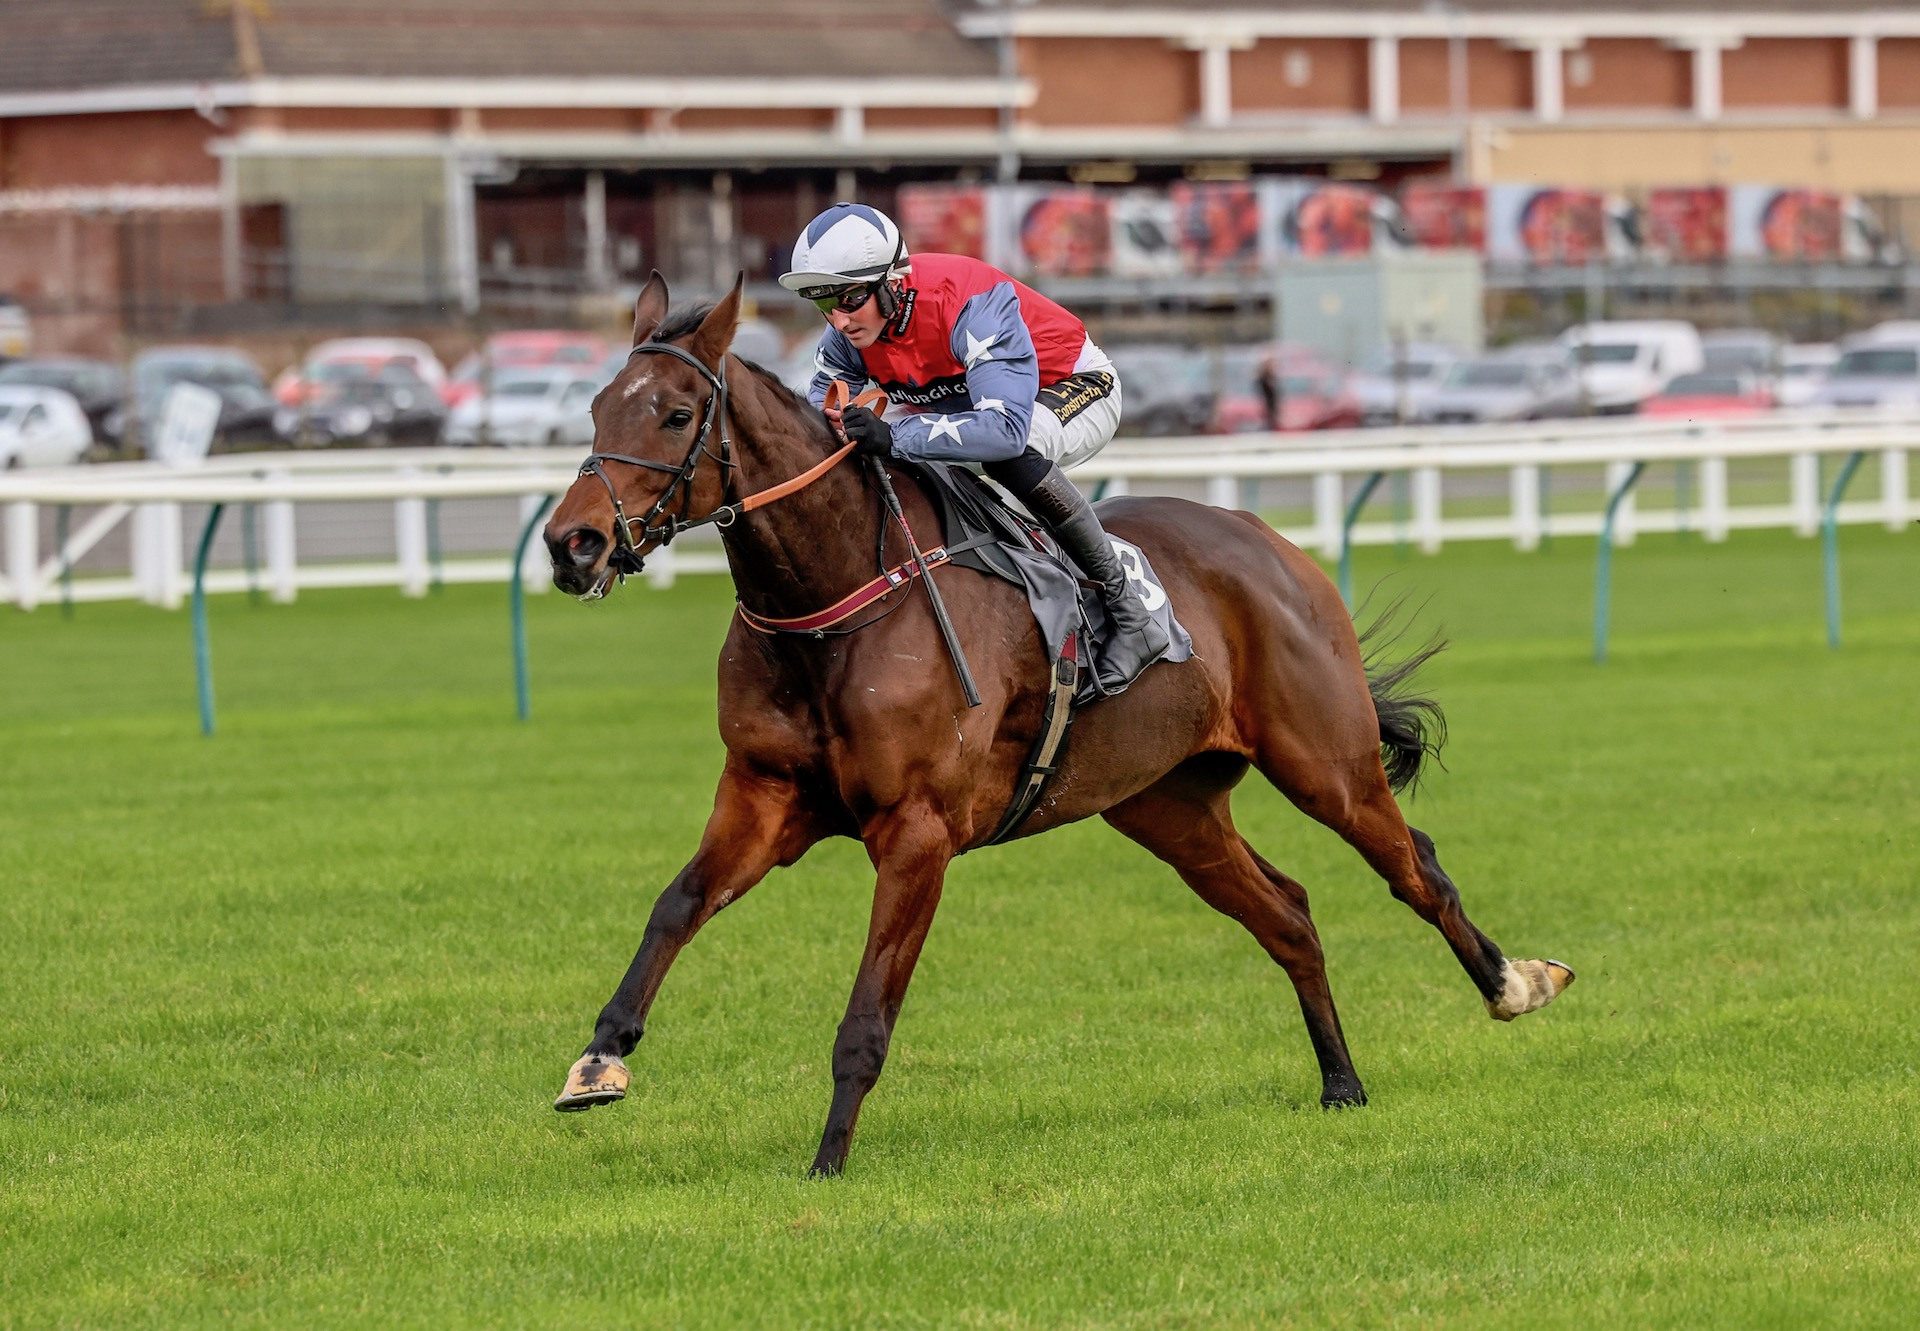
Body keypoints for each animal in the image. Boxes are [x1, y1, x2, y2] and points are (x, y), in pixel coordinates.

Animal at [541, 270, 1574, 1175]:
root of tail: (1273, 544)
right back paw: (1342, 1082)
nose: (570, 543)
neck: (836, 602)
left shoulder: (917, 833)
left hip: (1328, 763)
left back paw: (1515, 983)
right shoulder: (763, 794)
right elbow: (674, 906)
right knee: (1288, 913)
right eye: (596, 408)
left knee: (1417, 871)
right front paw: (599, 1059)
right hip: (1167, 805)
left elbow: (868, 1014)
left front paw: (828, 1161)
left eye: (676, 414)